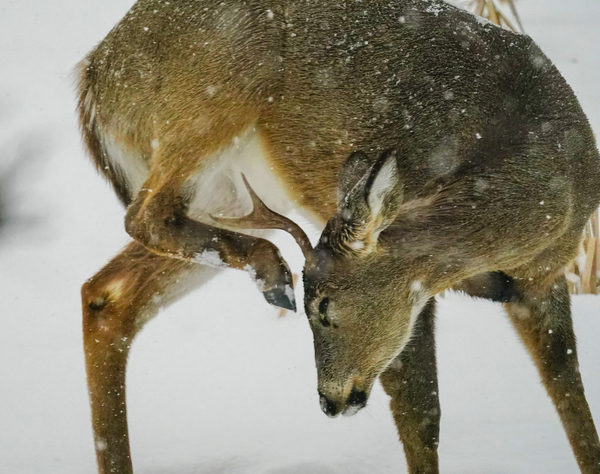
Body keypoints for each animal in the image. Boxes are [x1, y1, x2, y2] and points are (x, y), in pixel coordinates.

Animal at [77, 0, 600, 472]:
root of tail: (93, 74)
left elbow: (574, 403)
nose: (330, 401)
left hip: (229, 192)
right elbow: (421, 415)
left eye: (326, 307)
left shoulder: (542, 281)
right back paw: (272, 270)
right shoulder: (419, 292)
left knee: (108, 294)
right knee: (144, 216)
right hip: (220, 88)